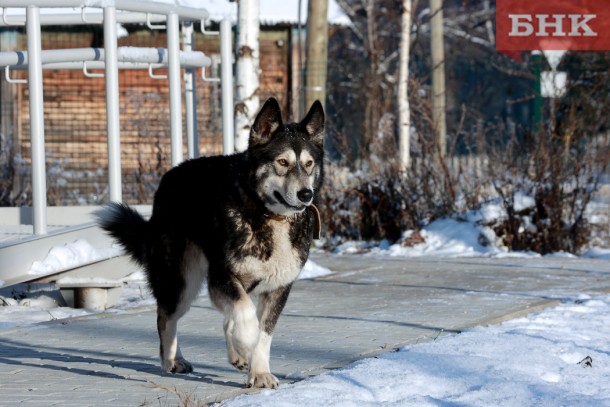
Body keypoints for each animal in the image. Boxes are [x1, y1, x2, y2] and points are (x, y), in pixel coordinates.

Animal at [97, 98, 324, 388]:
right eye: (282, 162)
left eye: (309, 164)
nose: (306, 194)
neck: (267, 214)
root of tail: (167, 180)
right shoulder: (221, 277)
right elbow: (245, 314)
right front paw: (247, 342)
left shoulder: (278, 288)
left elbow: (264, 333)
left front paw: (259, 371)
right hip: (181, 281)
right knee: (165, 318)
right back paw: (173, 360)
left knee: (220, 319)